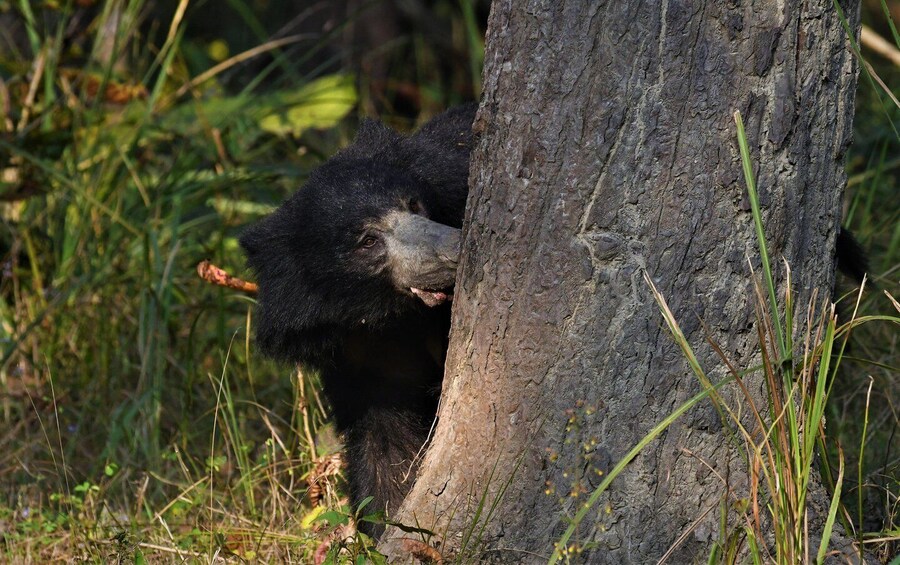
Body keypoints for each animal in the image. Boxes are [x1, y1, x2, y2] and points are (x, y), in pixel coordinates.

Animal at [239, 104, 477, 532]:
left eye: (414, 204)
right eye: (368, 241)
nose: (453, 249)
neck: (388, 316)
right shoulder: (358, 354)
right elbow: (384, 444)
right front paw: (389, 522)